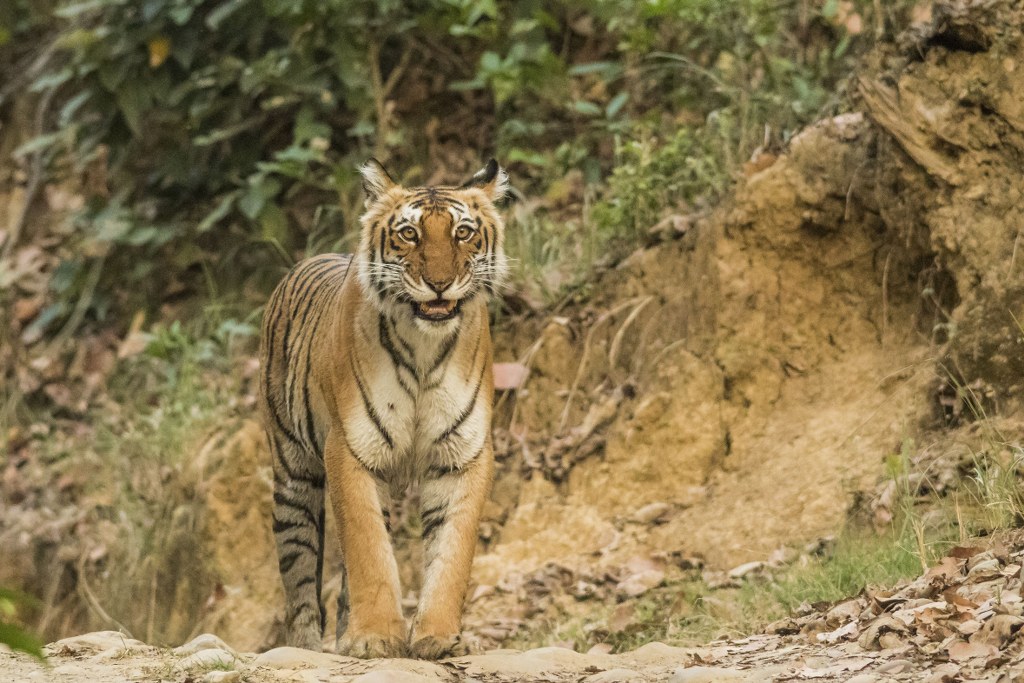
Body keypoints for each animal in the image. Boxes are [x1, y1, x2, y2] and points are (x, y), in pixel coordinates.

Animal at [258, 157, 509, 659]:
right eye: (409, 234)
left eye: (464, 233)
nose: (438, 284)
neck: (425, 346)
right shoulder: (350, 449)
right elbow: (367, 549)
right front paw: (374, 636)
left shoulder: (463, 455)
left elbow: (451, 550)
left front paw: (437, 636)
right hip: (293, 475)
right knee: (299, 571)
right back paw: (308, 645)